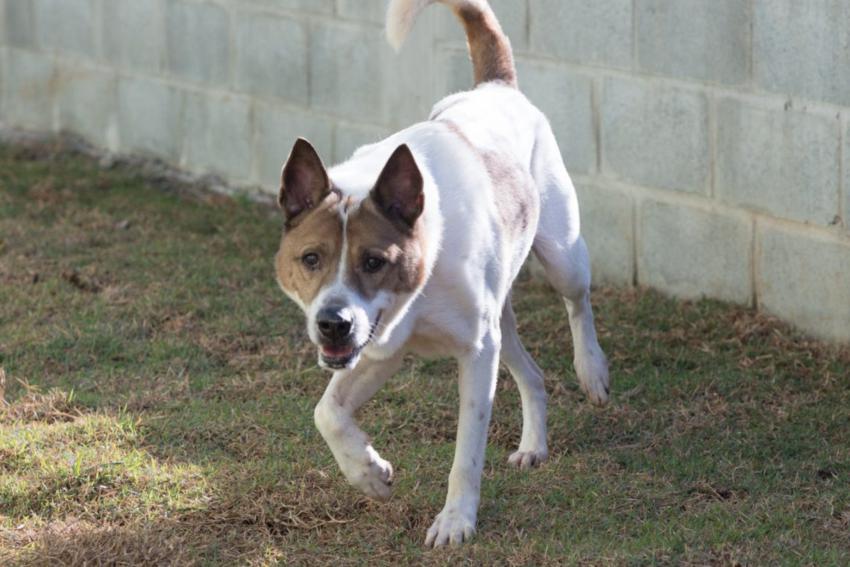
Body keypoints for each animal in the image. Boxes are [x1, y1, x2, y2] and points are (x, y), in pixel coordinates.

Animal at [274, 0, 608, 548]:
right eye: (310, 259)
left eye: (374, 261)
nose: (332, 324)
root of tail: (495, 87)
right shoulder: (380, 349)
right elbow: (327, 413)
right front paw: (369, 474)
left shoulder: (476, 351)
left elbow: (466, 453)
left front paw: (455, 520)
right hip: (501, 320)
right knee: (532, 375)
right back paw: (534, 445)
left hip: (561, 255)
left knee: (577, 301)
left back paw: (593, 371)